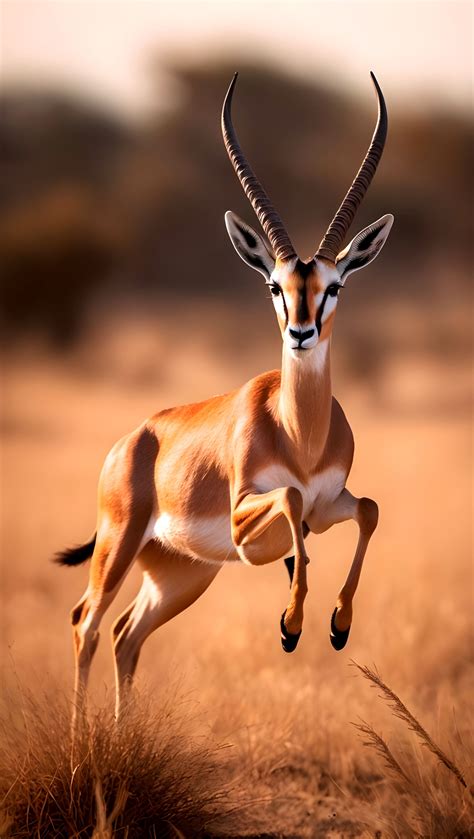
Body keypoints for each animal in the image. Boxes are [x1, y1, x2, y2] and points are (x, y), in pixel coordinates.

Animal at [56, 72, 393, 728]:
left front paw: (337, 626)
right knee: (87, 622)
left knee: (126, 635)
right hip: (120, 546)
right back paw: (83, 741)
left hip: (183, 573)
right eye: (274, 286)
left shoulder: (330, 506)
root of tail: (131, 440)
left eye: (334, 286)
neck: (300, 434)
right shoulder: (248, 519)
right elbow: (289, 498)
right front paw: (290, 625)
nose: (301, 332)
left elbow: (367, 509)